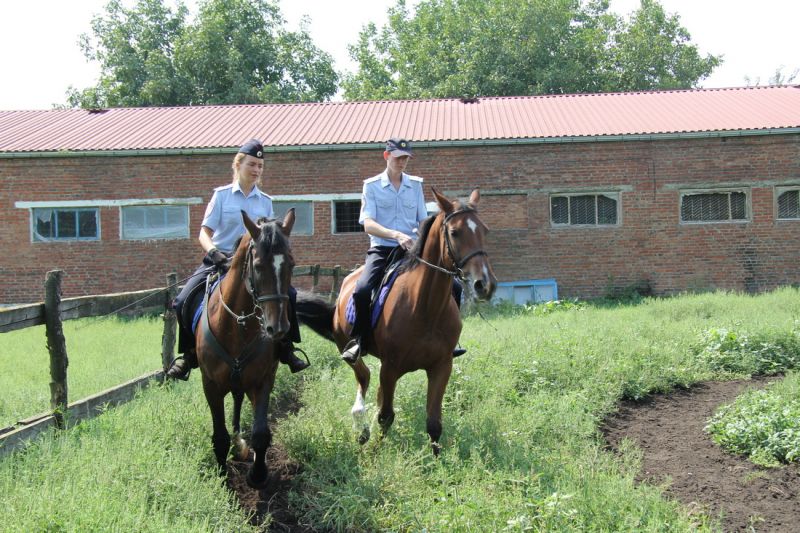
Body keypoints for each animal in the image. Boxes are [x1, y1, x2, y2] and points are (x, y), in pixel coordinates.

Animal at [195, 207, 296, 486]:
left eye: (291, 265)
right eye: (258, 267)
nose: (277, 328)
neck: (236, 324)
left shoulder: (262, 380)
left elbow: (260, 433)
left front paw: (258, 474)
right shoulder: (211, 385)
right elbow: (219, 435)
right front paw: (222, 477)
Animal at [296, 187, 496, 454]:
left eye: (485, 230)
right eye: (454, 232)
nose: (486, 284)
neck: (425, 308)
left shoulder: (441, 366)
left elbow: (433, 423)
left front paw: (436, 460)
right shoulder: (390, 367)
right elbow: (386, 416)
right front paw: (374, 452)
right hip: (345, 345)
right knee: (364, 377)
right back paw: (360, 426)